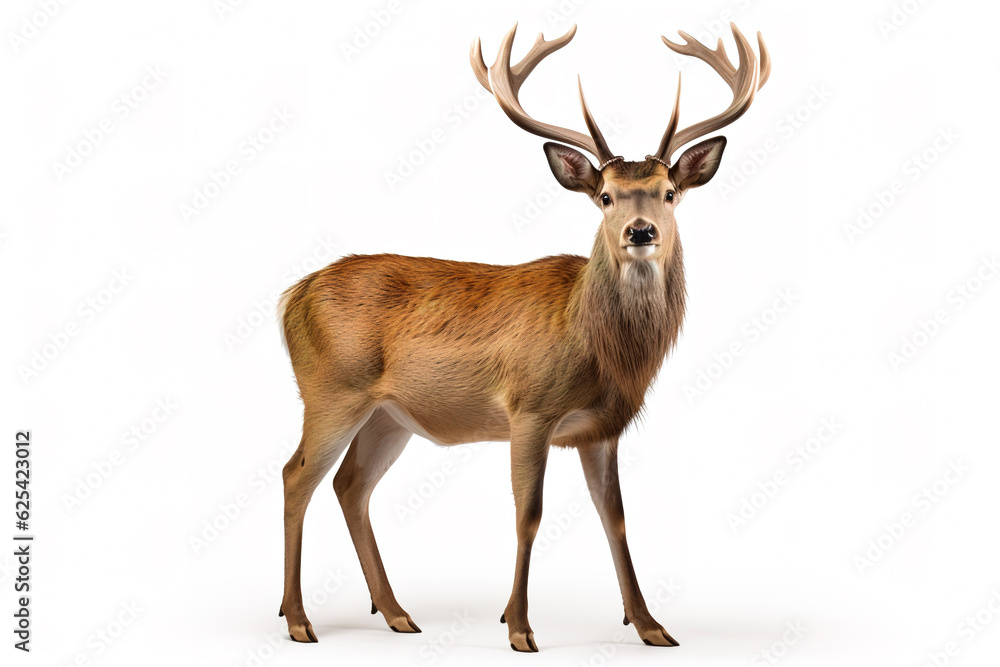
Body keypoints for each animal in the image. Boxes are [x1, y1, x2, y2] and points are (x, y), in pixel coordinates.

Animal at [277, 21, 770, 652]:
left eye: (669, 192)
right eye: (605, 196)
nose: (640, 232)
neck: (599, 348)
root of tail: (293, 294)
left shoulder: (600, 428)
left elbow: (615, 517)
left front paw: (651, 625)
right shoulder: (529, 408)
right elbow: (528, 514)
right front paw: (518, 627)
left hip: (389, 414)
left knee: (350, 485)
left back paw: (395, 612)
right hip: (330, 390)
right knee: (297, 476)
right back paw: (299, 619)